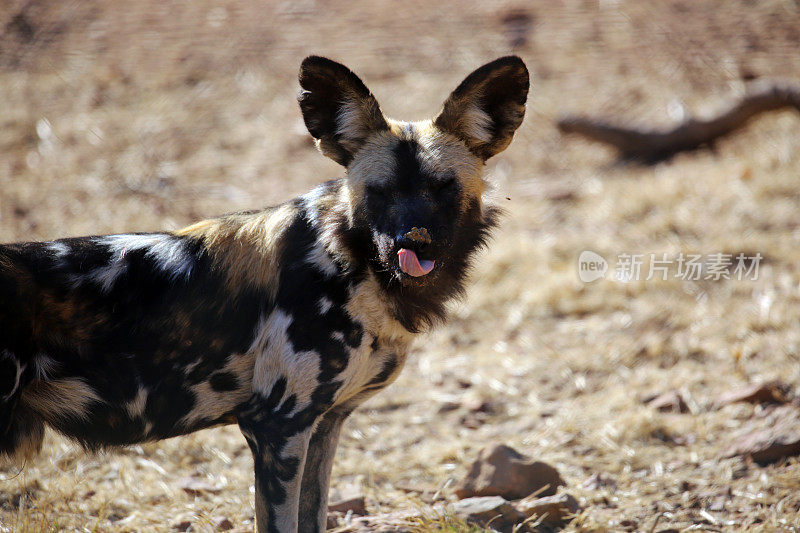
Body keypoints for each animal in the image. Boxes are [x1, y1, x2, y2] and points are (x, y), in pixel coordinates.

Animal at [0, 56, 528, 528]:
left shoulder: (321, 426)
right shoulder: (277, 426)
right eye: (380, 192)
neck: (349, 264)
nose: (412, 243)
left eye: (443, 188)